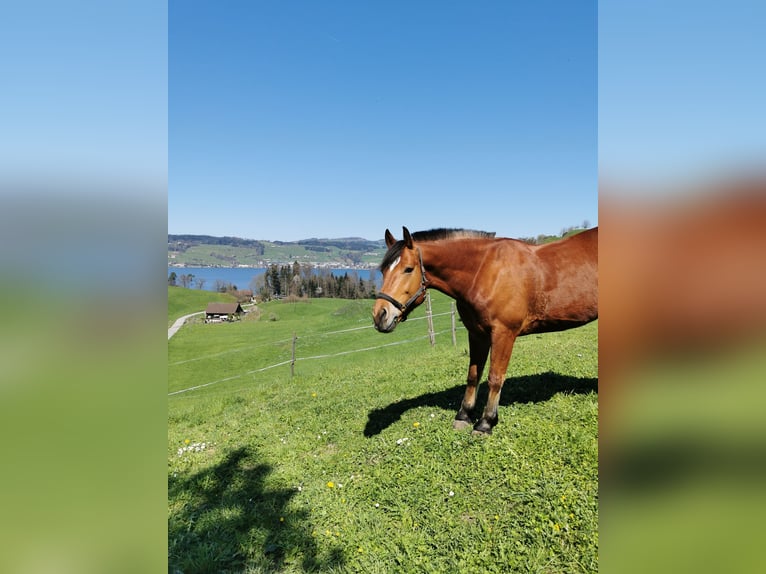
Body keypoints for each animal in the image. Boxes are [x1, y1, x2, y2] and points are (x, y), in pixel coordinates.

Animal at [372, 227, 600, 434]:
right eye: (383, 271)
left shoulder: (503, 334)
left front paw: (486, 422)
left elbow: (495, 377)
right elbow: (473, 375)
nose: (380, 315)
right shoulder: (477, 334)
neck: (485, 271)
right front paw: (464, 415)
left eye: (408, 269)